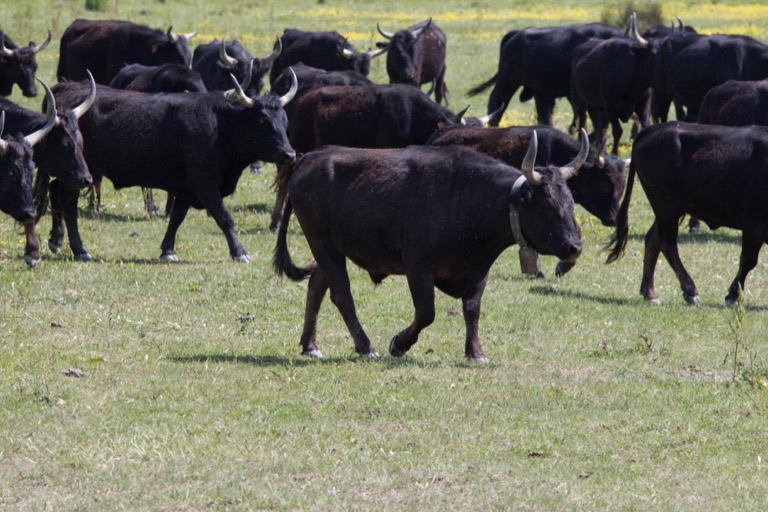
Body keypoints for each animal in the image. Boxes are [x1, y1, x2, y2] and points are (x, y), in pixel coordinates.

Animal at [40, 72, 298, 262]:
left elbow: (177, 217)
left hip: (71, 173)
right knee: (69, 205)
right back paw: (79, 249)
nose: (290, 154)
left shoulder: (186, 187)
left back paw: (56, 240)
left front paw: (168, 250)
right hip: (78, 173)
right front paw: (239, 252)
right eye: (263, 121)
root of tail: (66, 88)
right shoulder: (204, 183)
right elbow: (224, 216)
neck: (220, 126)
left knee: (55, 192)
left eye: (285, 120)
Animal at [273, 131, 585, 360]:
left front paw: (476, 352)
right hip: (324, 245)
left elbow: (472, 310)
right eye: (547, 206)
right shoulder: (418, 267)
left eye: (571, 202)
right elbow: (426, 312)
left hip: (331, 250)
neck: (468, 197)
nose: (575, 247)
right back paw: (366, 347)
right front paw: (399, 343)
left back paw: (310, 345)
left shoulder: (479, 272)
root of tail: (310, 157)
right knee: (343, 296)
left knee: (317, 288)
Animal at [605, 122, 768, 306]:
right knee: (667, 243)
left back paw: (650, 293)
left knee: (652, 240)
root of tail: (652, 129)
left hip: (672, 209)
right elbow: (748, 260)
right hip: (665, 206)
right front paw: (732, 296)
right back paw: (690, 291)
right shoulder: (754, 223)